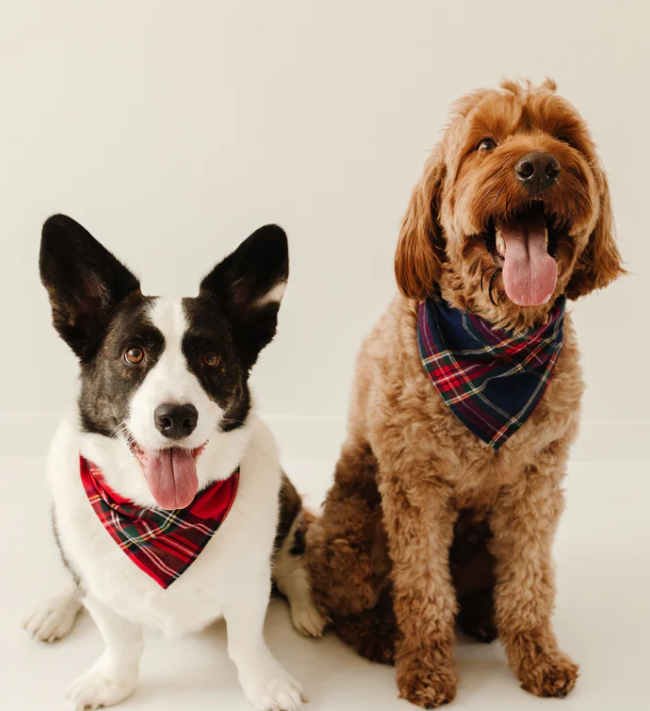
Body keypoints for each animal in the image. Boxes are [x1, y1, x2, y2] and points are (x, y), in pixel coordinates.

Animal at [25, 217, 324, 711]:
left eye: (211, 357)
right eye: (133, 354)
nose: (177, 417)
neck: (159, 516)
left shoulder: (249, 585)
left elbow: (247, 642)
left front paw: (266, 684)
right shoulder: (103, 592)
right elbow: (121, 642)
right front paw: (111, 682)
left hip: (289, 505)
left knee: (291, 567)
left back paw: (307, 609)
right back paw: (53, 608)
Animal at [304, 79, 624, 708]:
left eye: (564, 137)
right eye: (485, 143)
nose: (540, 165)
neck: (496, 346)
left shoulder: (536, 485)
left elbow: (528, 583)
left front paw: (537, 656)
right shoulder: (415, 486)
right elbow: (424, 589)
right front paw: (426, 667)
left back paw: (482, 618)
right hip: (352, 532)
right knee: (347, 604)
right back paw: (381, 635)